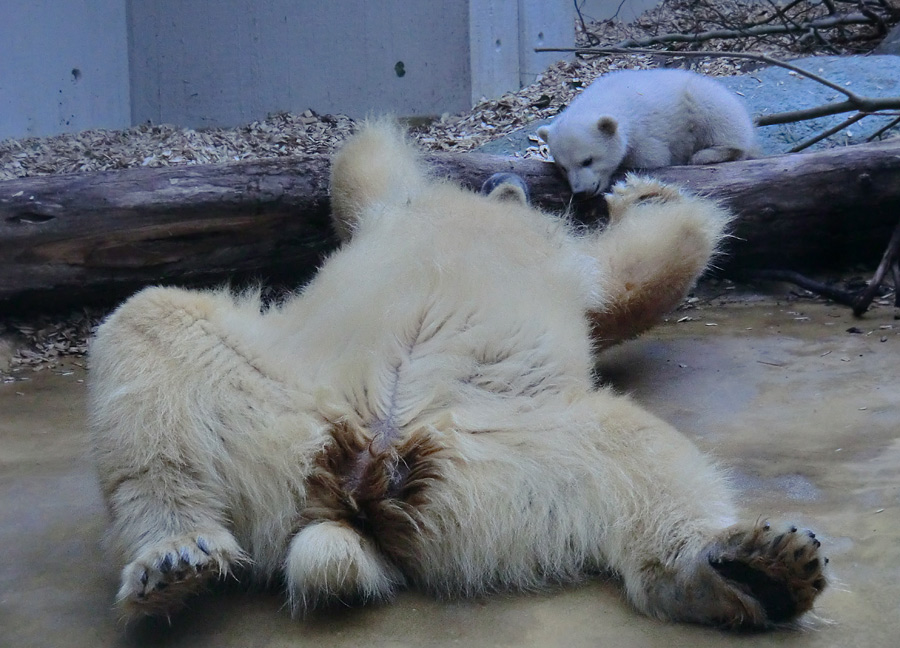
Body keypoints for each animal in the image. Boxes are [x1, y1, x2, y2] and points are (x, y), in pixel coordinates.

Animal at [86, 120, 824, 628]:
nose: (512, 182)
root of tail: (367, 472)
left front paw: (635, 189)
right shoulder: (540, 249)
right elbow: (643, 270)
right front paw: (641, 192)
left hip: (498, 452)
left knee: (636, 450)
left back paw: (750, 571)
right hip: (294, 401)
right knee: (148, 324)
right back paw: (171, 556)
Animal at [536, 68, 756, 196]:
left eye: (587, 160)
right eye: (563, 167)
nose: (581, 192)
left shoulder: (644, 131)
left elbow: (651, 158)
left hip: (705, 100)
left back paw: (705, 155)